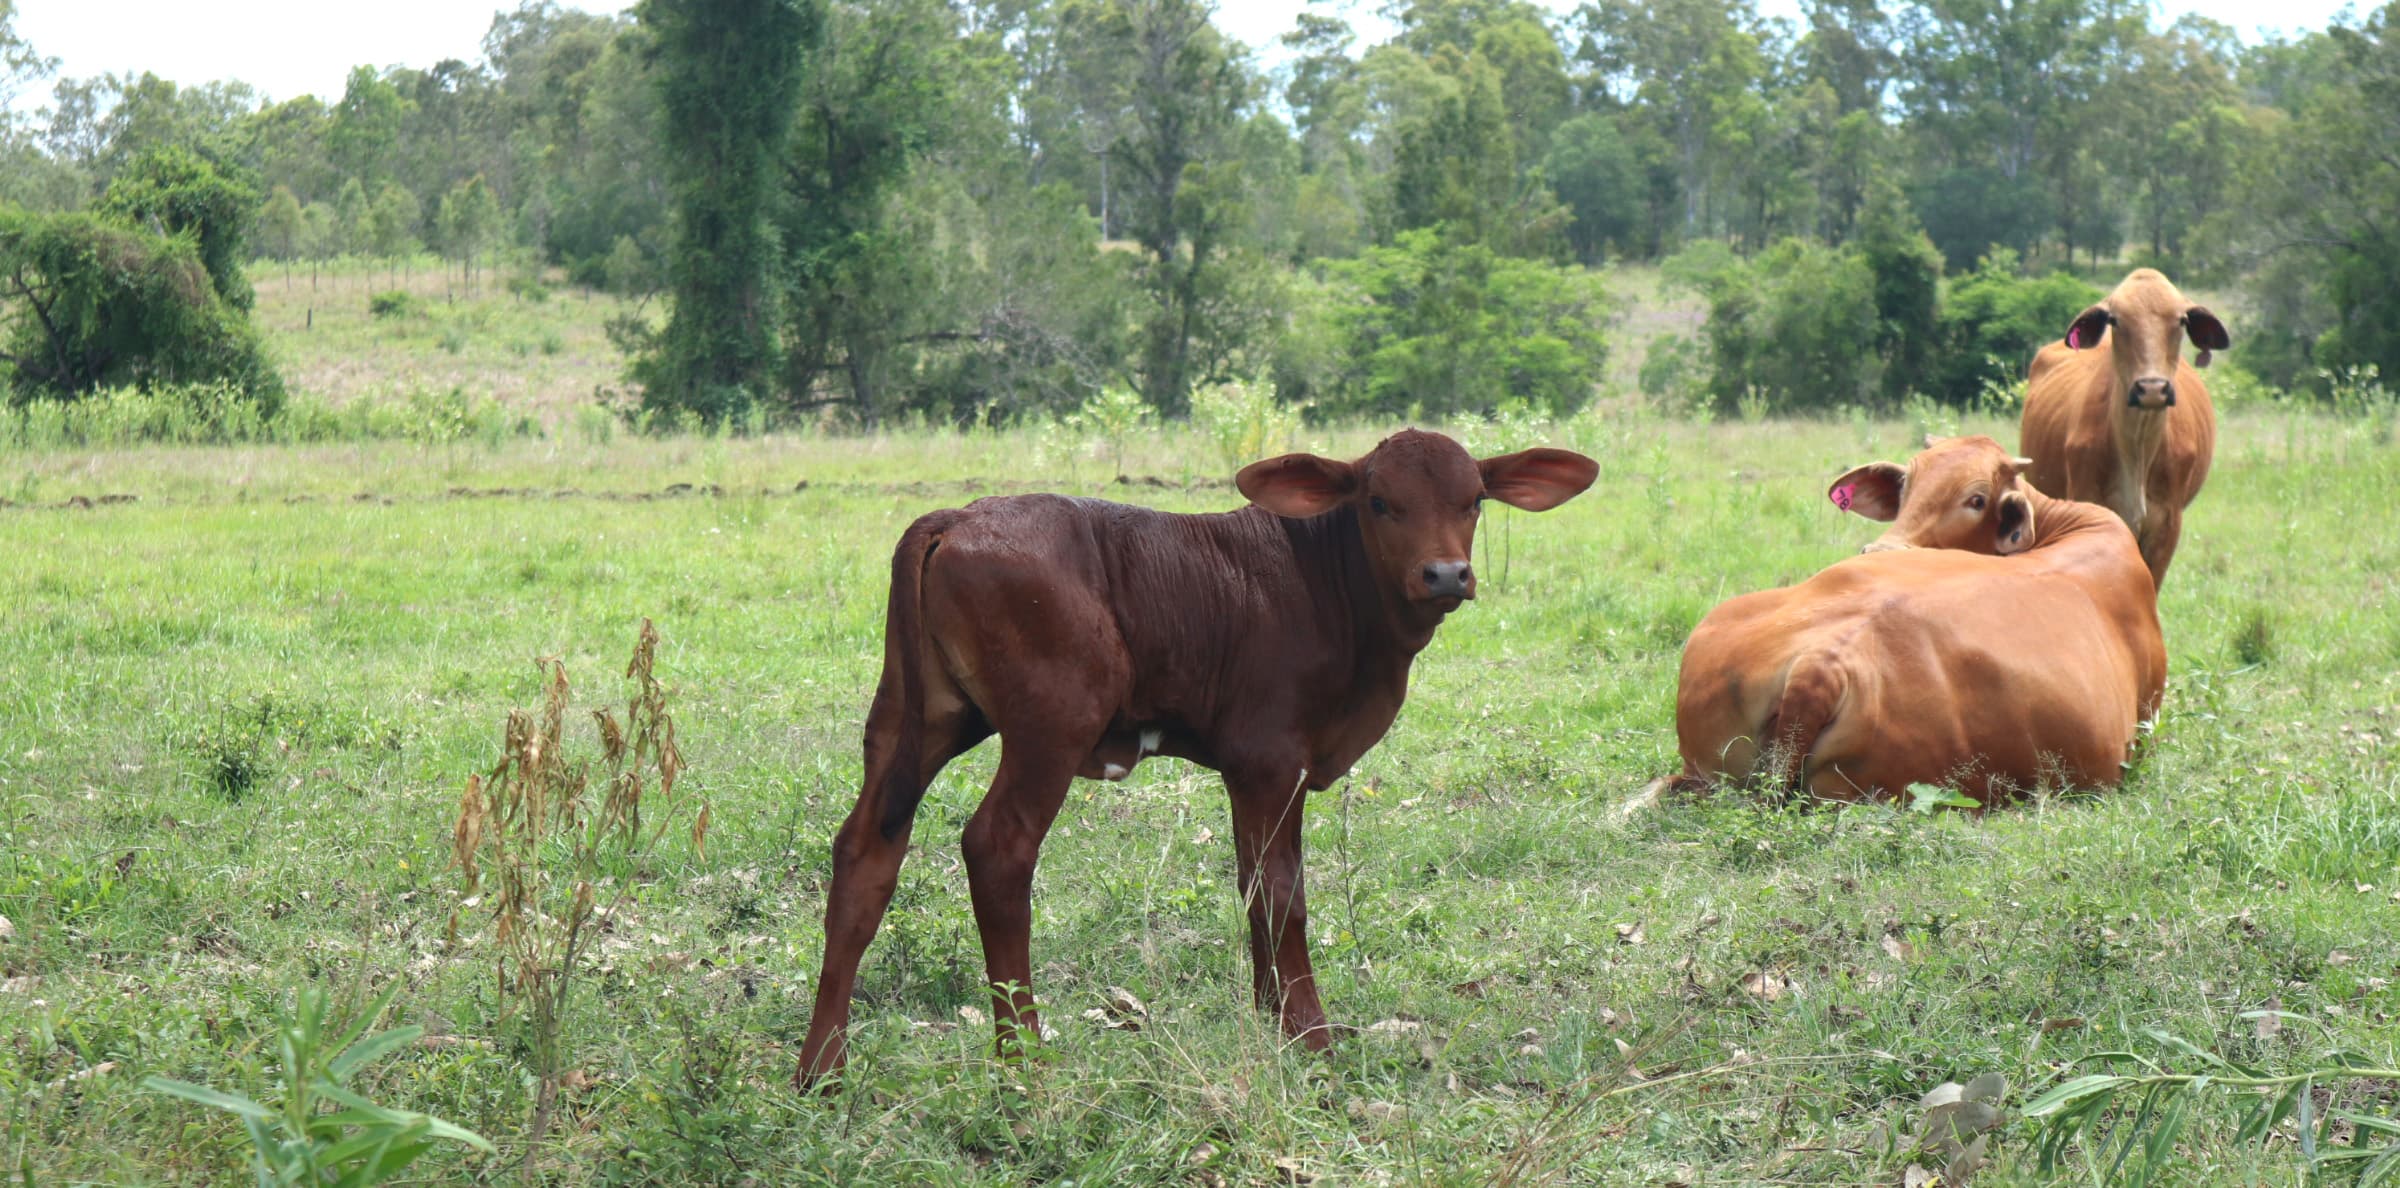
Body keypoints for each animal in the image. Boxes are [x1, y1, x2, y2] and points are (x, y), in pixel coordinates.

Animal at [794, 429, 1599, 1087]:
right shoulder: (1269, 756)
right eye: (1378, 502)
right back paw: (1024, 1061)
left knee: (866, 848)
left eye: (1474, 501)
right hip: (1051, 723)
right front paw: (1309, 1036)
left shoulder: (1265, 770)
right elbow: (1281, 892)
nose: (1446, 574)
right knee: (997, 847)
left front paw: (1274, 1019)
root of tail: (957, 516)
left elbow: (1254, 882)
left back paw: (822, 1069)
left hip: (916, 717)